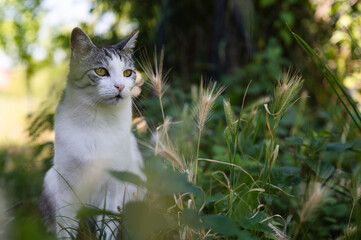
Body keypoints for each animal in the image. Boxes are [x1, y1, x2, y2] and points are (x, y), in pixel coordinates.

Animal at [37, 27, 142, 239]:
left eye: (128, 73)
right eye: (101, 71)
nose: (120, 86)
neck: (97, 121)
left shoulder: (113, 188)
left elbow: (108, 227)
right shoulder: (66, 185)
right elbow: (66, 228)